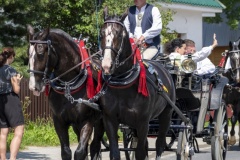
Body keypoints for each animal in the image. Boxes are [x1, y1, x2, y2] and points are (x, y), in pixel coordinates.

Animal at [27, 25, 104, 160]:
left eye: (41, 53)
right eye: (28, 53)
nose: (33, 86)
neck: (69, 85)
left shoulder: (87, 121)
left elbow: (80, 152)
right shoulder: (59, 121)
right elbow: (66, 152)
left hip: (101, 121)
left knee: (95, 145)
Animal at [98, 7, 176, 159]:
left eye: (119, 34)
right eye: (102, 33)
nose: (106, 65)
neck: (123, 85)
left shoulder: (143, 122)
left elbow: (140, 152)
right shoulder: (110, 119)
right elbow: (115, 152)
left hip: (167, 114)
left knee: (159, 144)